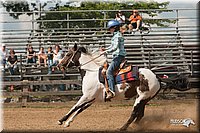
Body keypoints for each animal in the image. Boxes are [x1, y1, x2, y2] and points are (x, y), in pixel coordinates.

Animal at [56, 44, 189, 131]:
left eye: (68, 54)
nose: (59, 65)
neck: (91, 72)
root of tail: (157, 77)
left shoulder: (87, 96)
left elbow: (75, 107)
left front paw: (61, 120)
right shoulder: (93, 98)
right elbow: (80, 109)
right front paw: (67, 123)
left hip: (141, 98)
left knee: (134, 113)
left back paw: (123, 128)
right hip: (145, 99)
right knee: (140, 115)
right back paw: (135, 127)